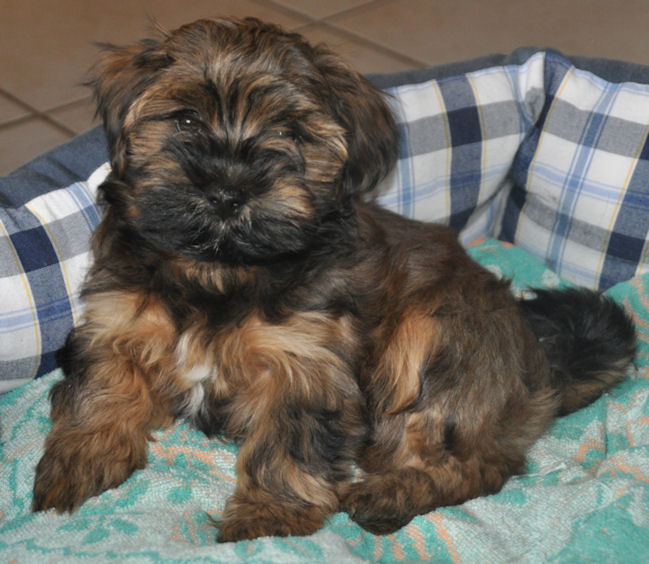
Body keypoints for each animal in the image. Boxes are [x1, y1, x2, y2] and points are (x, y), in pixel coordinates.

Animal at [31, 15, 632, 540]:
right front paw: (81, 457)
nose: (227, 191)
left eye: (288, 134)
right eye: (184, 120)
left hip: (440, 337)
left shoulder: (304, 363)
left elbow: (287, 444)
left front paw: (267, 518)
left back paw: (390, 493)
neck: (220, 272)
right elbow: (104, 387)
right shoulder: (115, 323)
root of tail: (539, 367)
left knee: (478, 461)